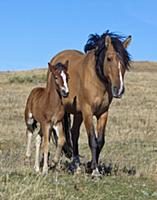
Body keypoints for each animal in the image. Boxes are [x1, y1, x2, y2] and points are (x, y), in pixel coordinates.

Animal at [49, 30, 132, 177]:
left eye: (125, 61)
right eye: (109, 58)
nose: (119, 89)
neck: (97, 79)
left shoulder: (103, 113)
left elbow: (100, 141)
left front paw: (91, 165)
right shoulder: (88, 112)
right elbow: (92, 140)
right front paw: (95, 171)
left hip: (78, 114)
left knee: (74, 133)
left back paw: (76, 165)